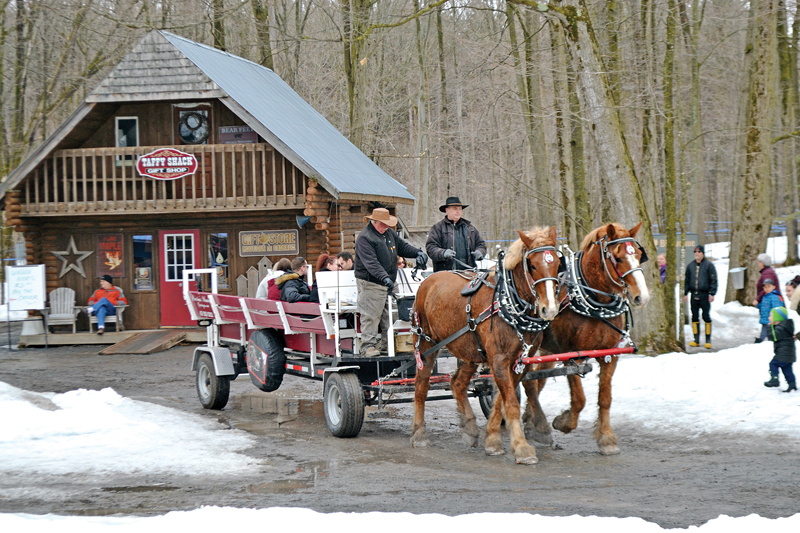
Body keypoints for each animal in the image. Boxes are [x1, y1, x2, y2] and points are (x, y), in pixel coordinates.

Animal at [412, 224, 564, 462]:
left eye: (557, 263)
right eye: (532, 265)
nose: (549, 309)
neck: (507, 302)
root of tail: (426, 282)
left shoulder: (519, 361)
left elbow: (500, 401)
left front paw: (492, 440)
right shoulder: (499, 359)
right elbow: (510, 403)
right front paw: (522, 448)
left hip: (468, 350)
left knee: (457, 383)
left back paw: (469, 427)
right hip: (426, 344)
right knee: (421, 385)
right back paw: (419, 433)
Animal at [520, 220, 652, 454]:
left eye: (638, 254)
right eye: (618, 258)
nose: (642, 297)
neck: (593, 299)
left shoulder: (610, 354)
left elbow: (605, 397)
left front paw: (607, 438)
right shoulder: (572, 355)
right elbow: (579, 399)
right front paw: (563, 422)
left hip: (545, 351)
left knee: (535, 382)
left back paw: (530, 420)